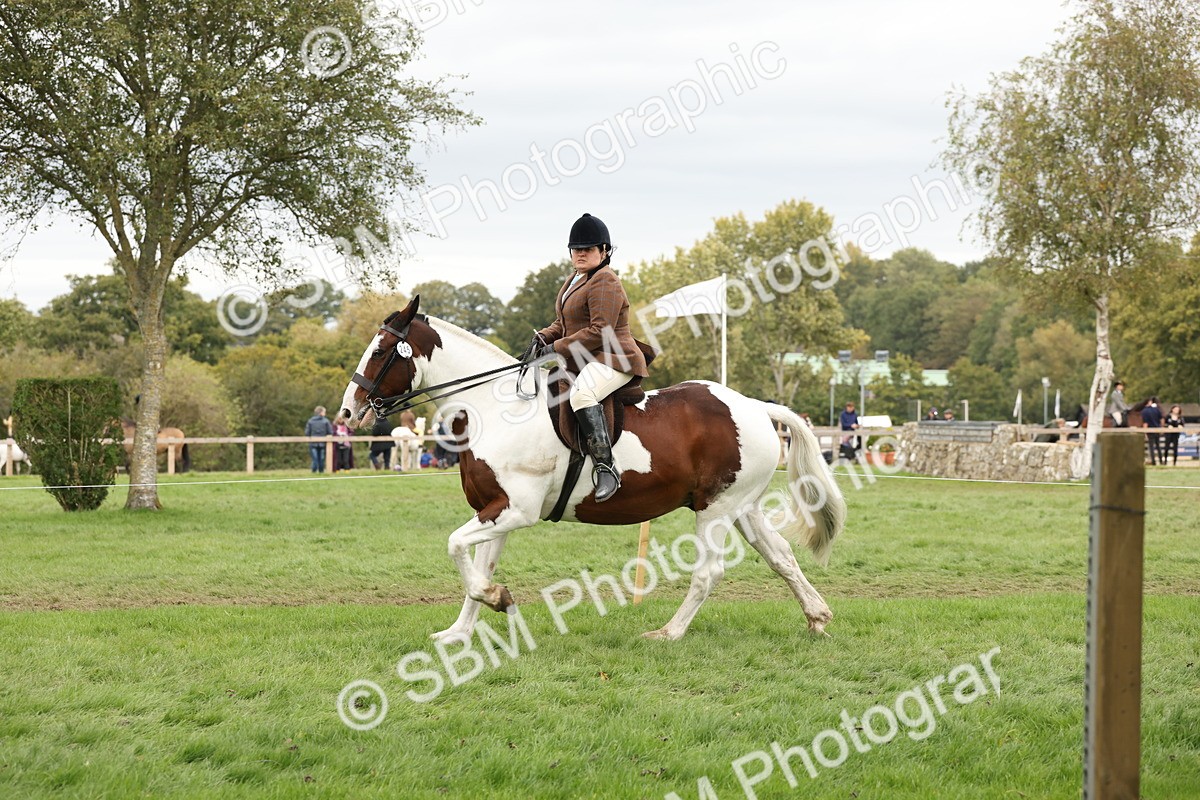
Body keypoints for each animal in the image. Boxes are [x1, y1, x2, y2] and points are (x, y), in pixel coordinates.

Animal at [337, 296, 846, 642]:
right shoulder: (495, 509)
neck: (493, 409)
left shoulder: (516, 510)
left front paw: (498, 599)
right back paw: (817, 617)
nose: (348, 412)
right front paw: (460, 632)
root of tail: (755, 407)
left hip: (716, 510)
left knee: (710, 572)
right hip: (741, 506)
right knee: (781, 556)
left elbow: (456, 546)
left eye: (380, 352)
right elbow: (478, 564)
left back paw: (668, 633)